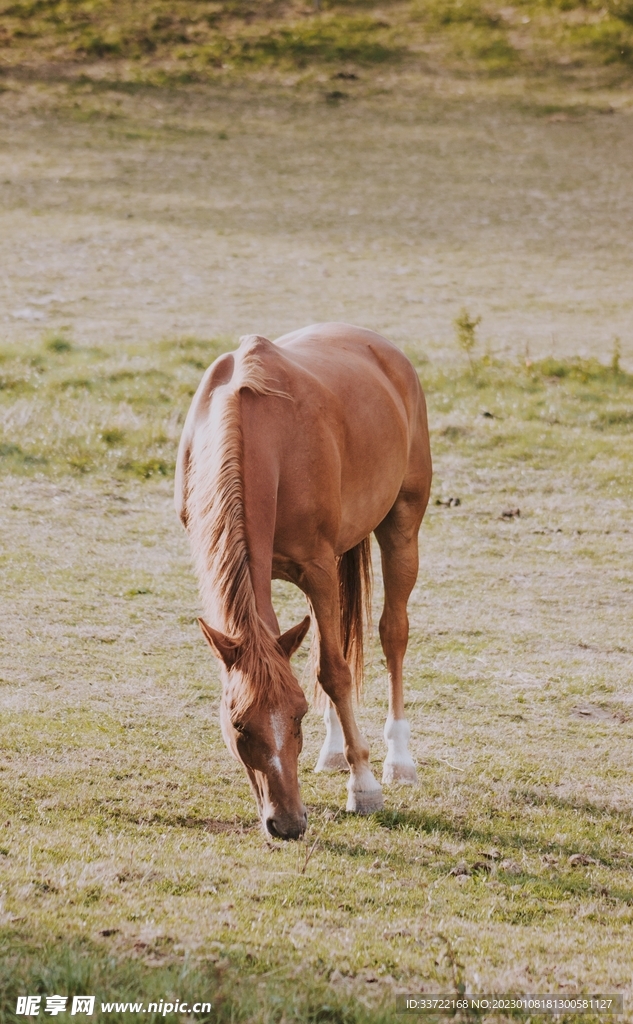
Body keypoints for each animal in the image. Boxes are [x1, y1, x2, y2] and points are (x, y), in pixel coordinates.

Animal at [175, 322, 432, 840]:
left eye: (297, 716)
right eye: (239, 725)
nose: (289, 823)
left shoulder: (316, 567)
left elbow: (333, 671)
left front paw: (364, 785)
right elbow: (323, 664)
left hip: (400, 525)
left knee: (391, 635)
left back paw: (399, 759)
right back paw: (334, 752)